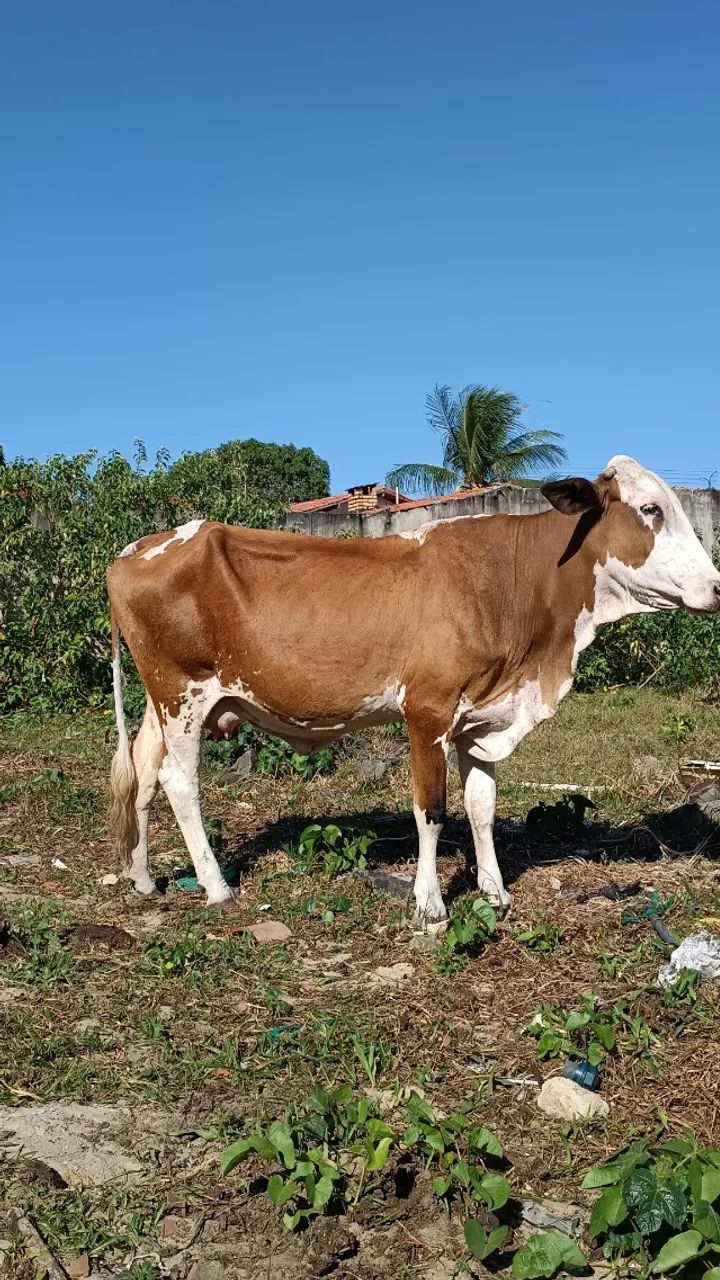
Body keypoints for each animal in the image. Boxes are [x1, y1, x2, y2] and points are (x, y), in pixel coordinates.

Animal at [107, 456, 720, 920]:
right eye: (650, 509)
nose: (717, 586)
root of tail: (136, 549)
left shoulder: (482, 718)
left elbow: (481, 807)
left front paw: (495, 890)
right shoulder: (428, 711)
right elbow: (432, 810)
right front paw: (430, 904)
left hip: (162, 702)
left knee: (143, 770)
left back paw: (141, 874)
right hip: (183, 693)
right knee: (179, 781)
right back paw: (215, 885)